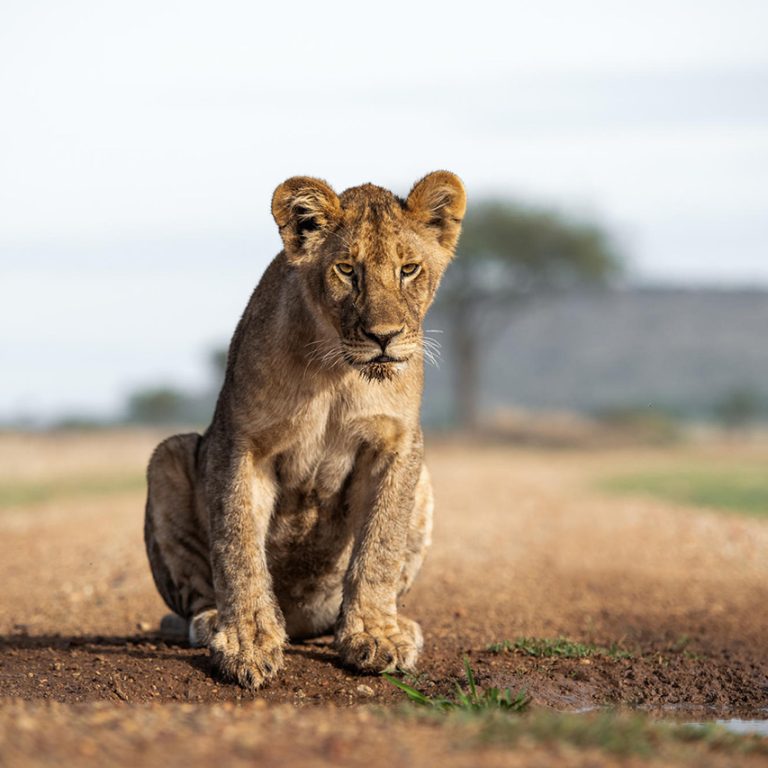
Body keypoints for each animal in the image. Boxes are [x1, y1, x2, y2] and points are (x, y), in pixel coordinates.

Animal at [144, 171, 466, 689]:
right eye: (347, 270)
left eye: (409, 269)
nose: (384, 336)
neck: (338, 371)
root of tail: (299, 623)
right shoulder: (241, 441)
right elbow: (237, 543)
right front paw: (247, 641)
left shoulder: (398, 443)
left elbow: (380, 547)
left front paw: (375, 634)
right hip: (168, 455)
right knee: (196, 597)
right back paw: (214, 622)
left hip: (425, 483)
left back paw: (395, 624)